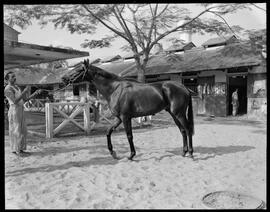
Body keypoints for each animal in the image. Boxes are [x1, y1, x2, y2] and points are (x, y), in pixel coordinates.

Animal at [61, 58, 194, 160]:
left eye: (78, 69)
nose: (64, 78)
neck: (115, 89)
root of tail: (184, 88)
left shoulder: (125, 117)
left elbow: (129, 135)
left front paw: (131, 155)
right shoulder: (118, 118)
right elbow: (108, 132)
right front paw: (113, 153)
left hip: (179, 114)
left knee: (187, 130)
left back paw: (191, 153)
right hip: (174, 114)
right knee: (182, 131)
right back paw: (184, 152)